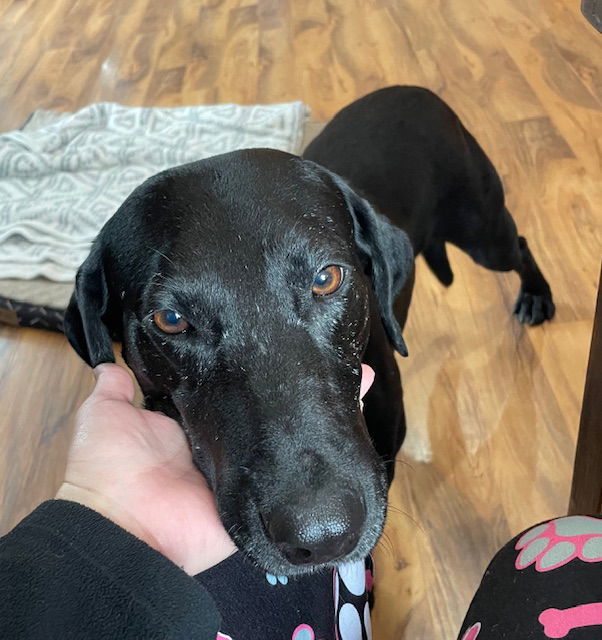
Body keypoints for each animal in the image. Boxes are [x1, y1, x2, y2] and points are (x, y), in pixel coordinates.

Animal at [64, 84, 552, 576]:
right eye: (171, 320)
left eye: (326, 278)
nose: (322, 536)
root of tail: (413, 88)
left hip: (483, 232)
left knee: (521, 244)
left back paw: (536, 295)